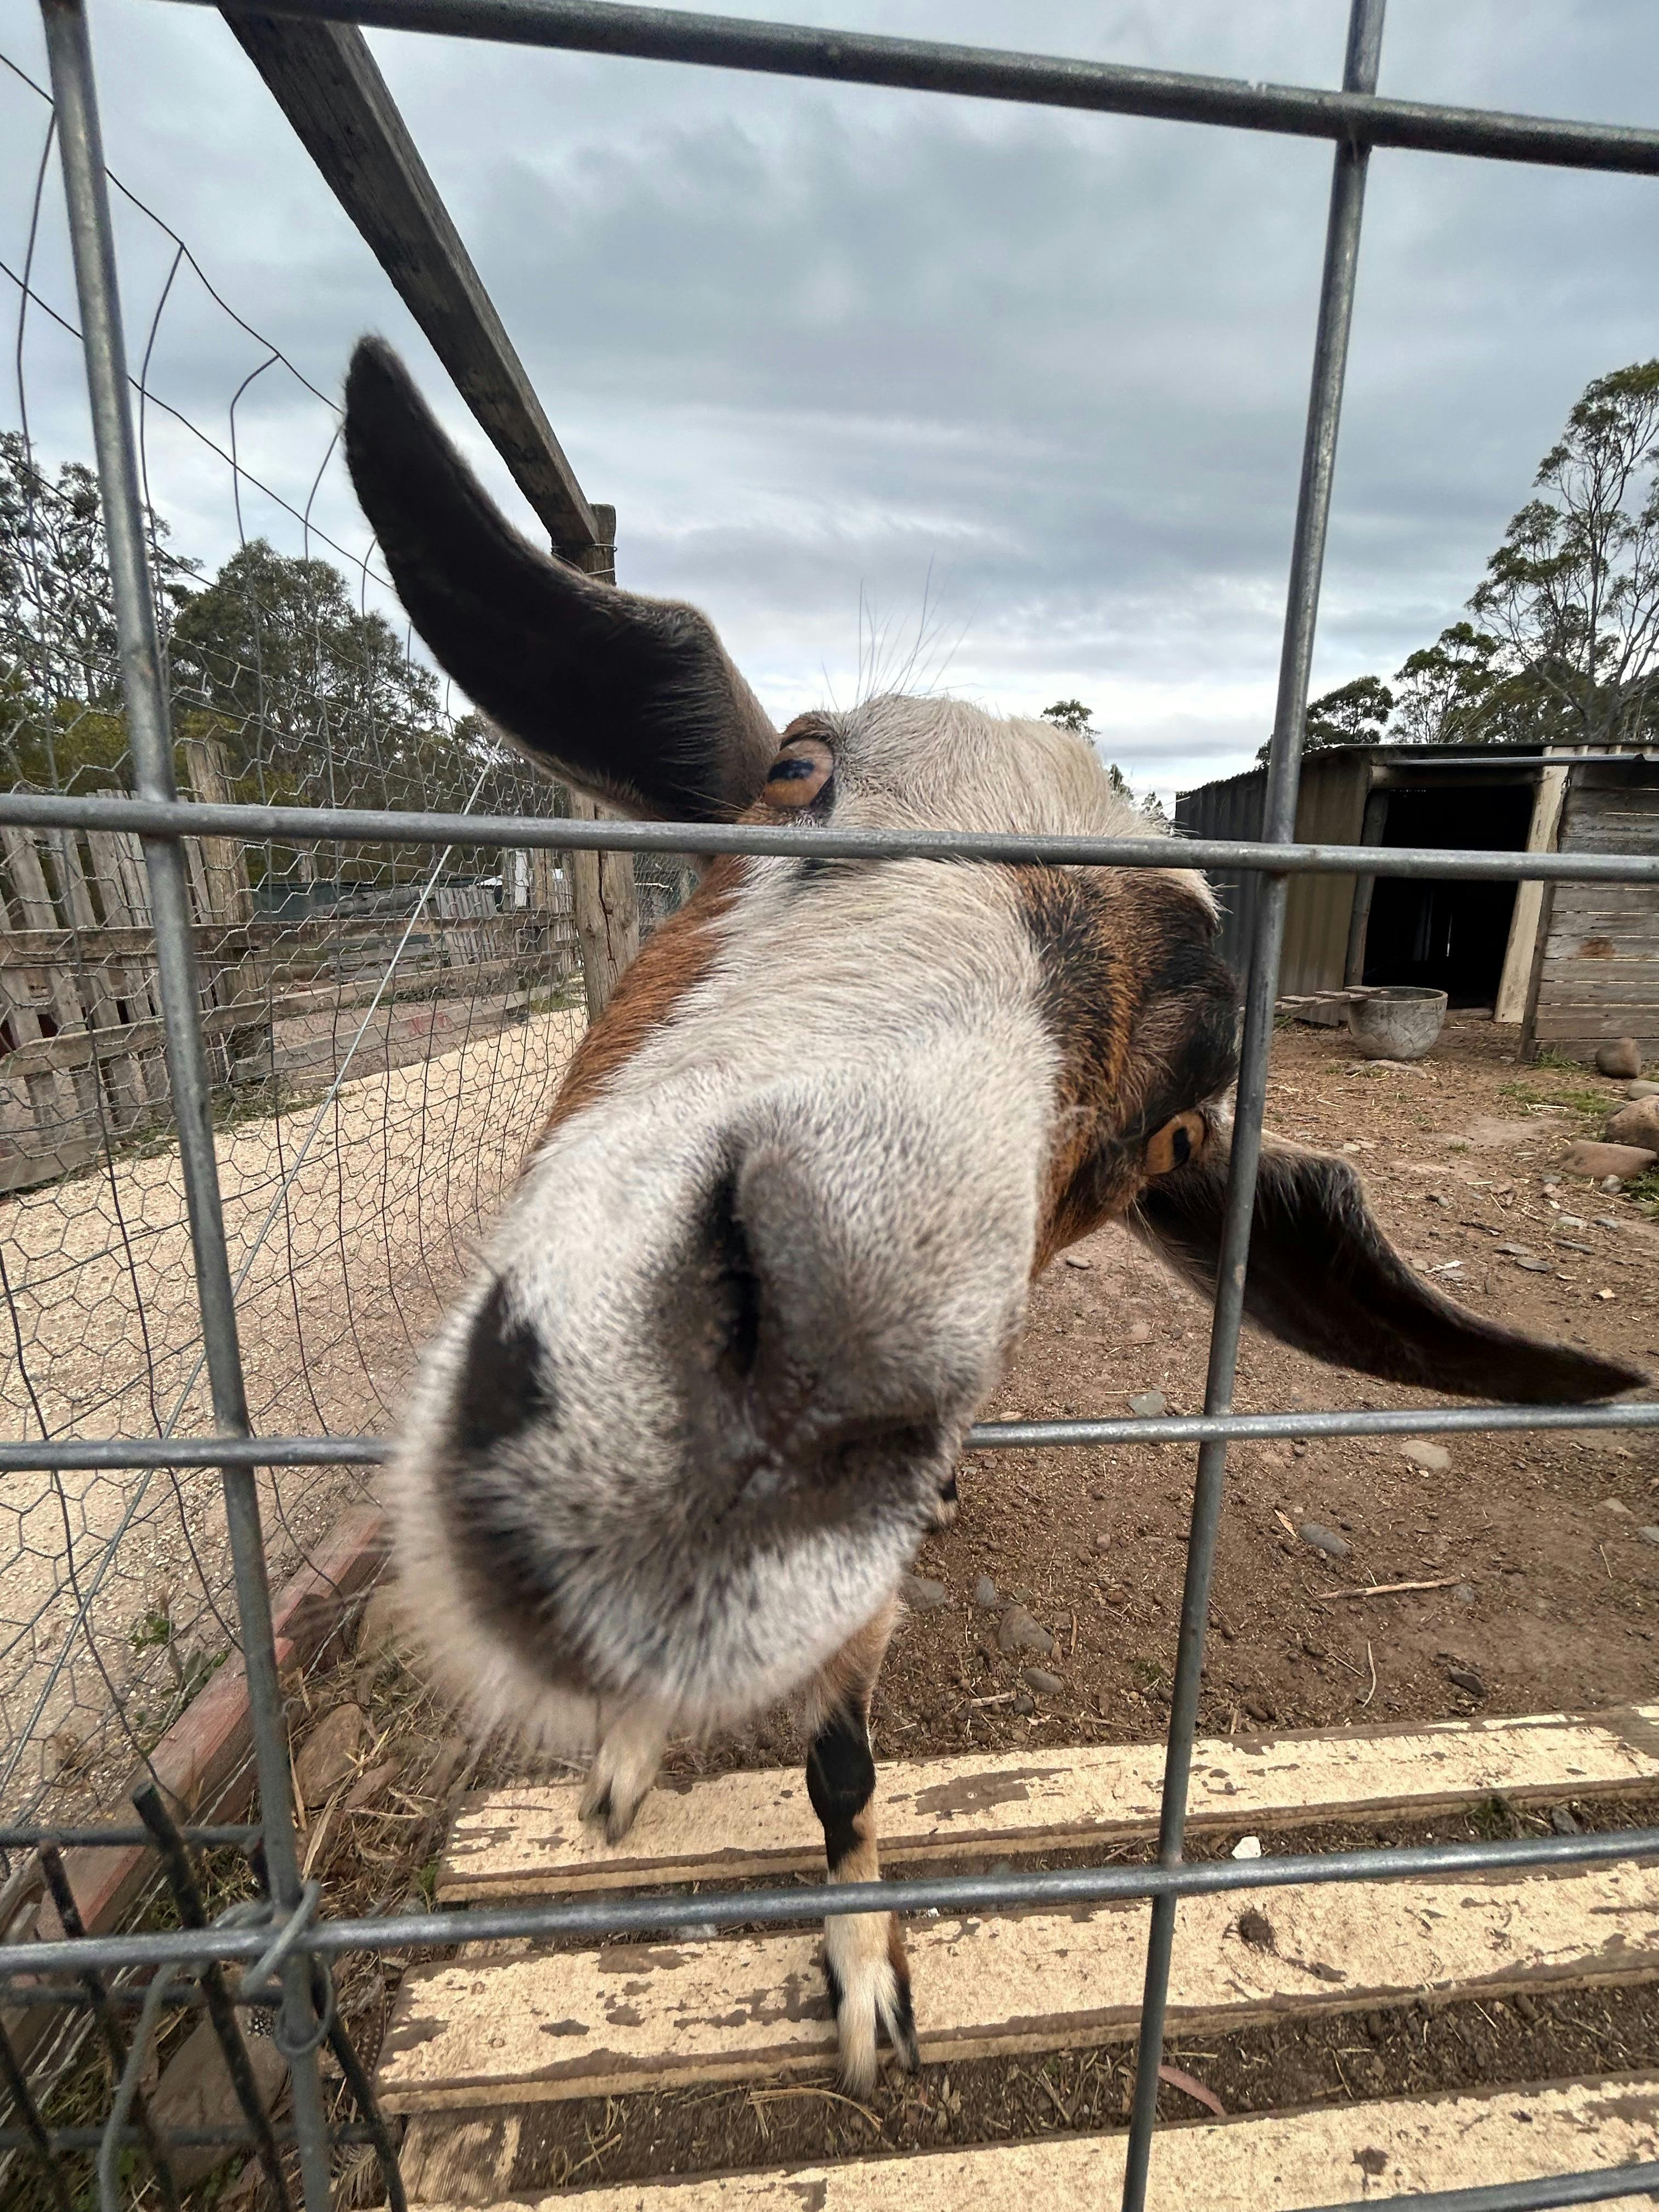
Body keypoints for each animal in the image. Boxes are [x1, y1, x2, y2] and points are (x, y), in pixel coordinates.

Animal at [342, 337, 1643, 2092]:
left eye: (1170, 1135)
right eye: (797, 772)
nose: (781, 1390)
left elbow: (840, 1768)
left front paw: (863, 1972)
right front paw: (622, 1763)